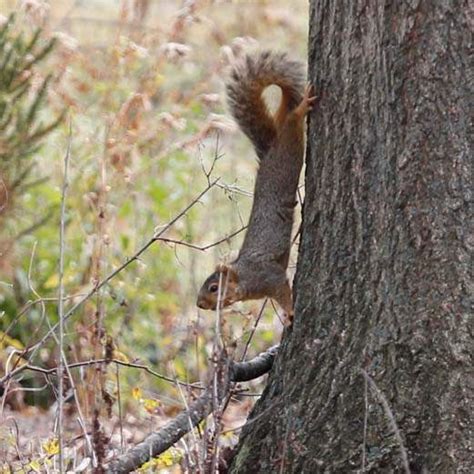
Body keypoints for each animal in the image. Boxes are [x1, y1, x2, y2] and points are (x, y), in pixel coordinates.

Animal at [196, 51, 314, 326]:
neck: (244, 276)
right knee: (285, 115)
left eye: (214, 288)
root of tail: (269, 149)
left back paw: (303, 106)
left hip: (288, 151)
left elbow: (283, 291)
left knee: (292, 122)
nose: (199, 304)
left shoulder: (269, 277)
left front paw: (290, 314)